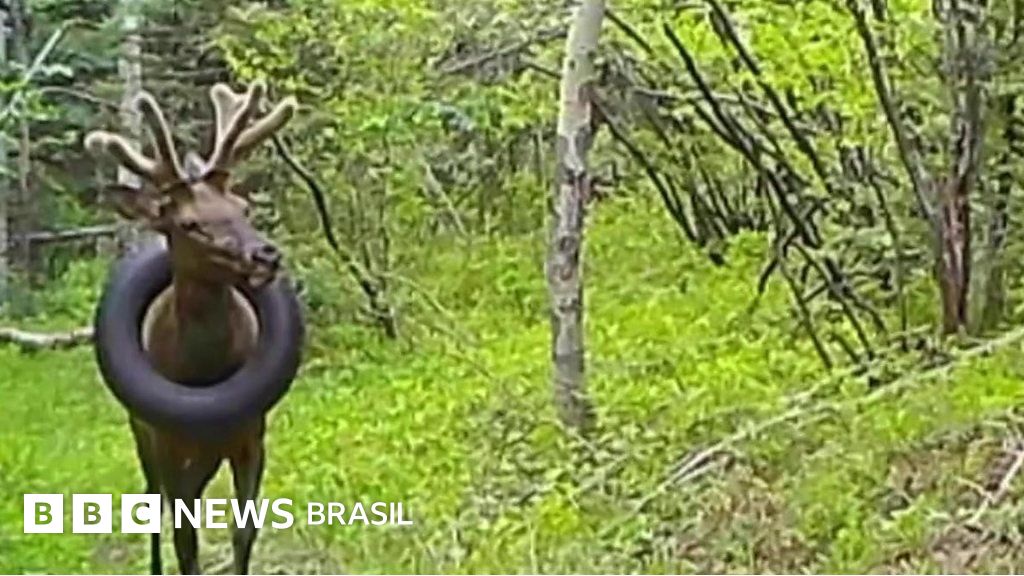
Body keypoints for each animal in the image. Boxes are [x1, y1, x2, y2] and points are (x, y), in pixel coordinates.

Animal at [84, 81, 298, 575]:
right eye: (189, 223)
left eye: (241, 206)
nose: (266, 255)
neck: (205, 373)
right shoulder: (166, 441)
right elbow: (185, 540)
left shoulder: (252, 434)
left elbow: (243, 531)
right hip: (141, 432)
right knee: (154, 507)